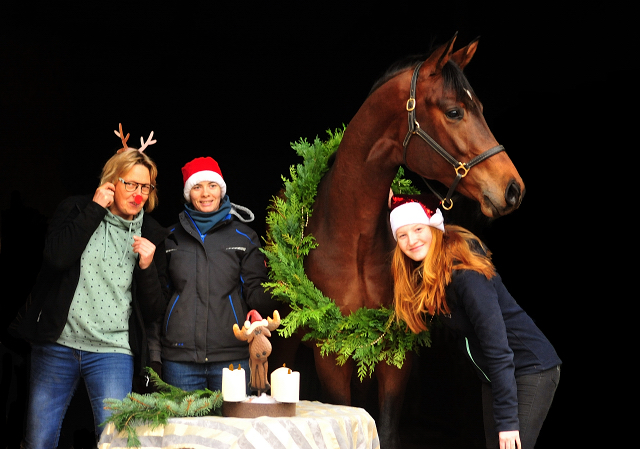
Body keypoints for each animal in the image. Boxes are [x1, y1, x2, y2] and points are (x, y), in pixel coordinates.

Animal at [302, 36, 524, 448]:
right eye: (454, 111)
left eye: (480, 109)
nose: (513, 188)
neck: (352, 240)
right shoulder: (331, 357)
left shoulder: (396, 358)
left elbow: (386, 430)